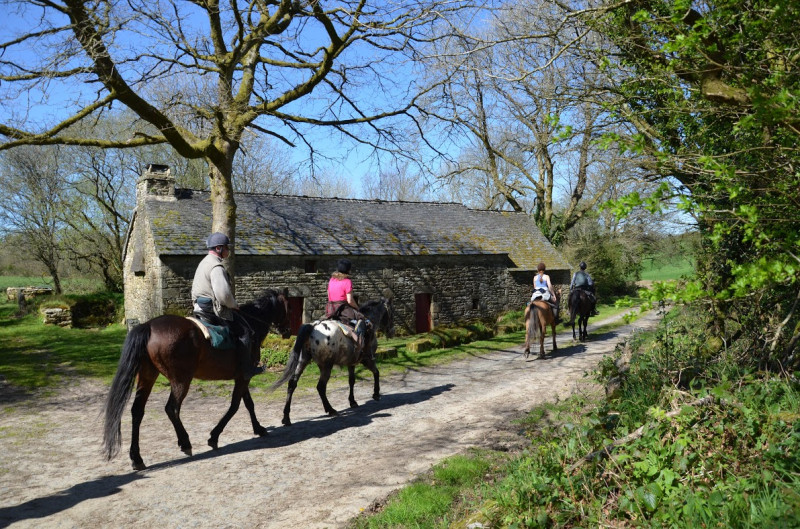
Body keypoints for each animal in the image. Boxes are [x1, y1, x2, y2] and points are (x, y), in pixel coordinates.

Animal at [101, 288, 290, 470]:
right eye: (288, 308)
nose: (287, 332)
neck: (252, 322)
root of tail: (148, 325)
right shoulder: (244, 377)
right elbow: (235, 406)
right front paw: (214, 436)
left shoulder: (242, 377)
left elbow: (248, 404)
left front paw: (258, 428)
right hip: (181, 380)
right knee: (172, 409)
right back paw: (185, 443)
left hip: (148, 376)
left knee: (137, 411)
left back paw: (137, 458)